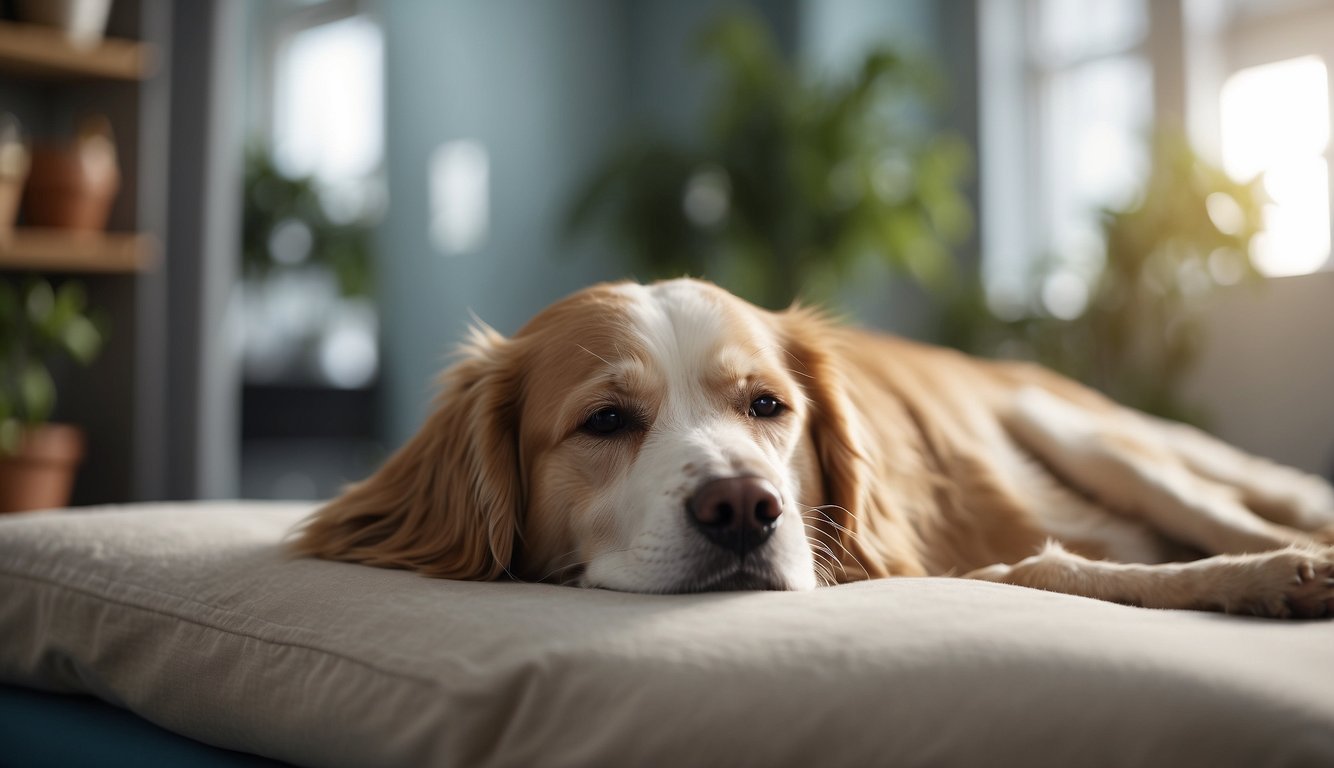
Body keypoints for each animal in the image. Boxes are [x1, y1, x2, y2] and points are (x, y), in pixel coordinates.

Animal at [292, 277, 1334, 618]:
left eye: (768, 405)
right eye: (606, 422)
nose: (744, 510)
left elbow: (1062, 567)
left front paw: (1270, 576)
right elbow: (1057, 568)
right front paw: (1260, 582)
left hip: (1089, 435)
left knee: (1227, 509)